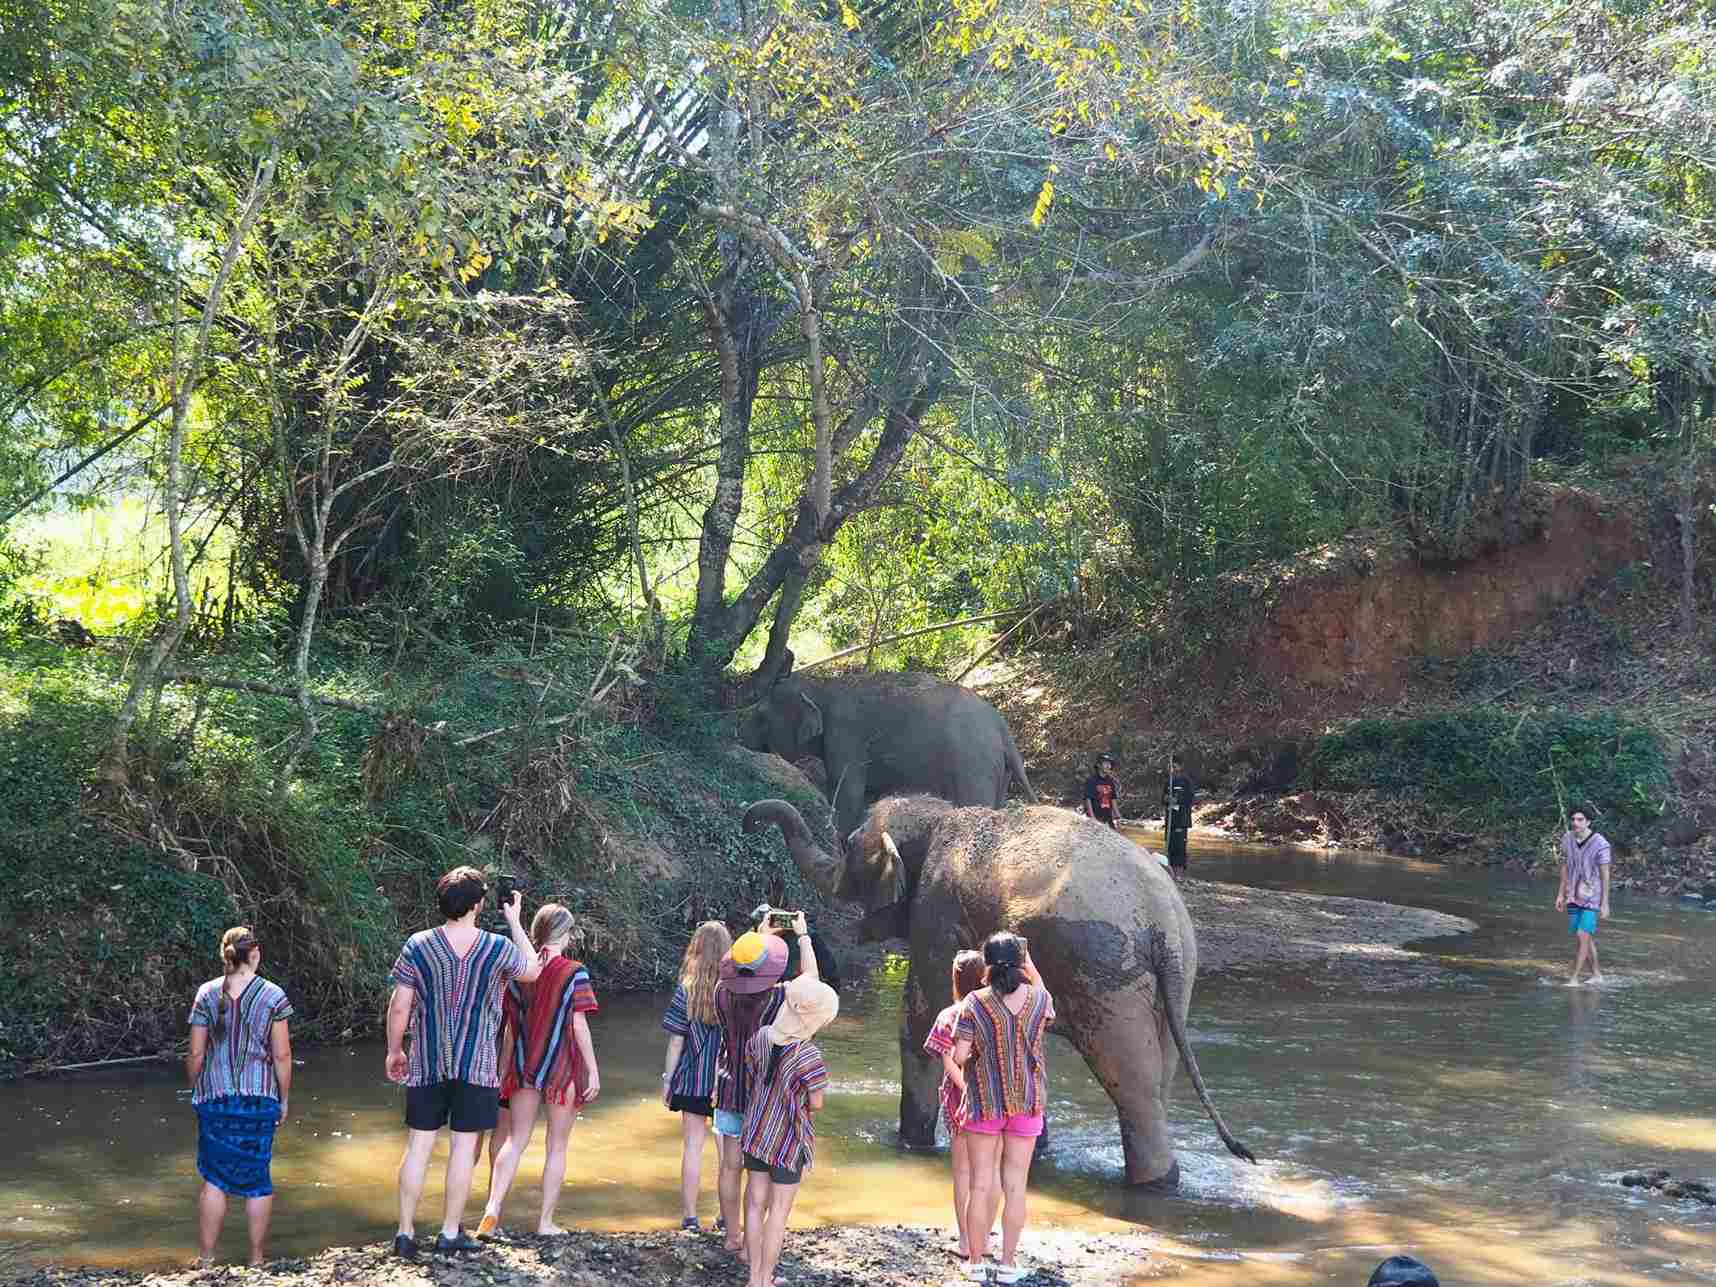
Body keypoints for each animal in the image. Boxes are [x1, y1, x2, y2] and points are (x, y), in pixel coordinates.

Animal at [738, 672, 1036, 835]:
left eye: (761, 717)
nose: (737, 737)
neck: (821, 687)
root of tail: (1003, 728)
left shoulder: (846, 736)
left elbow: (849, 794)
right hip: (998, 771)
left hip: (974, 763)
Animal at [742, 794, 1256, 1188]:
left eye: (849, 846)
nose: (749, 818)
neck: (940, 817)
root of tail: (1163, 921)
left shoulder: (936, 910)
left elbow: (924, 1017)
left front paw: (910, 1144)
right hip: (1172, 983)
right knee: (1161, 1077)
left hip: (1109, 976)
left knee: (1134, 1087)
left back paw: (1152, 1185)